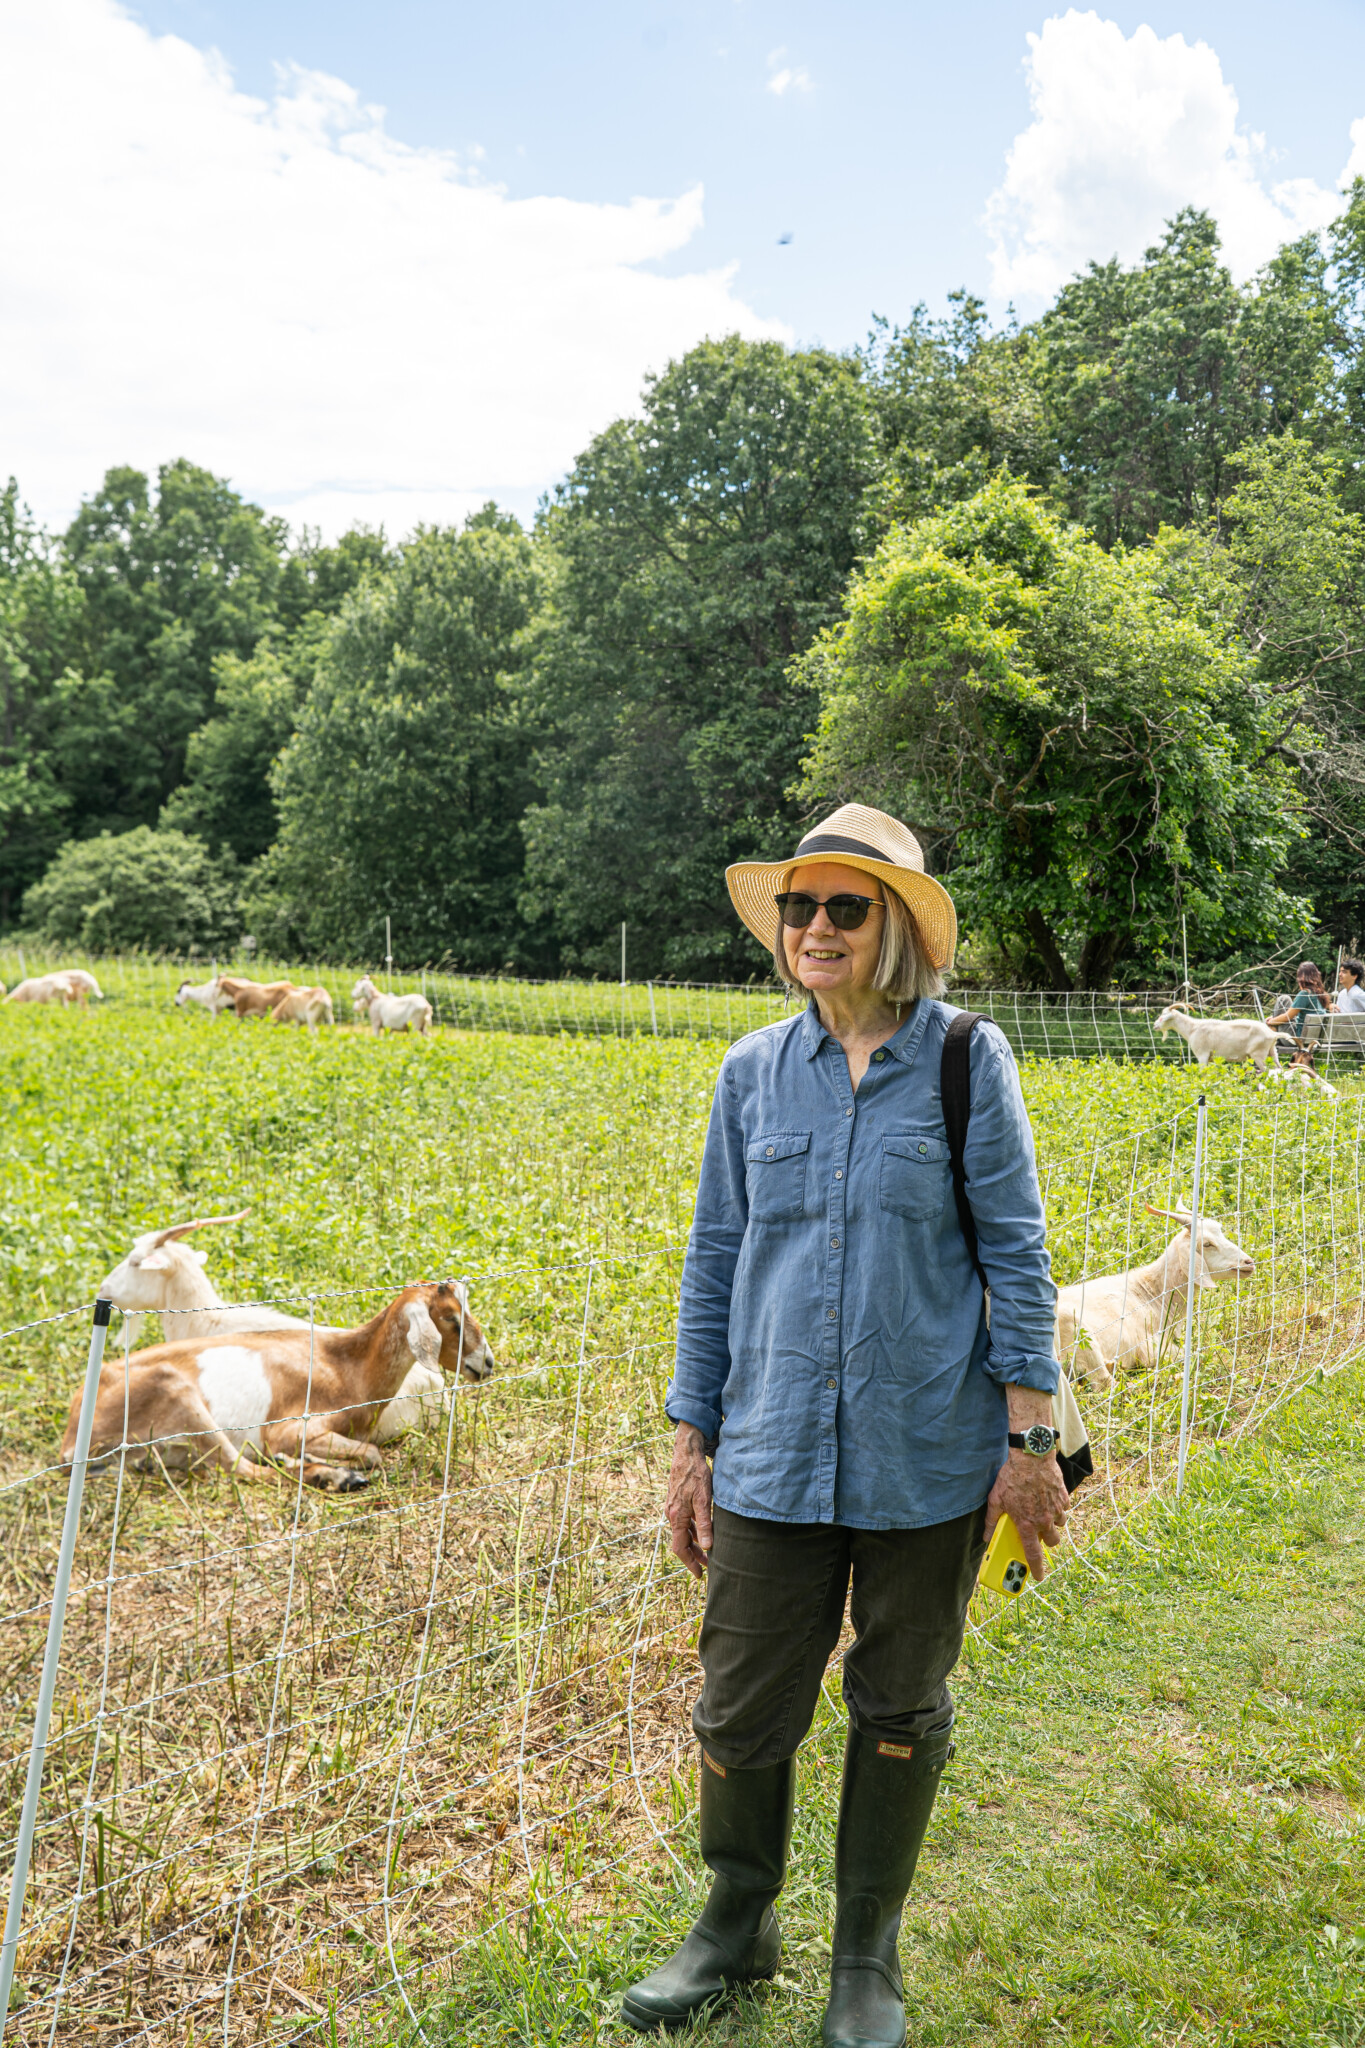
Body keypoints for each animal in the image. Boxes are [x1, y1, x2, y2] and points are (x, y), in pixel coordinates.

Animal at [62, 1277, 497, 1490]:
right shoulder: (292, 1427)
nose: (487, 1363)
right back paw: (334, 1477)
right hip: (175, 1392)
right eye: (451, 1319)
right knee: (240, 1468)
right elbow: (373, 1453)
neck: (345, 1365)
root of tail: (72, 1437)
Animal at [1055, 1196, 1260, 1392]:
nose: (1248, 1262)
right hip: (1080, 1337)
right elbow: (1192, 1355)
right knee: (1106, 1384)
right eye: (1207, 1244)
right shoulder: (1150, 1347)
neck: (1151, 1293)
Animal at [1154, 1003, 1285, 1073]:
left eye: (1163, 1017)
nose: (1155, 1025)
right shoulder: (1211, 1058)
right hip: (1272, 1053)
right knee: (1279, 1070)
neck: (1192, 1028)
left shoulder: (1202, 1054)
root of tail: (1272, 1034)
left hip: (1259, 1055)